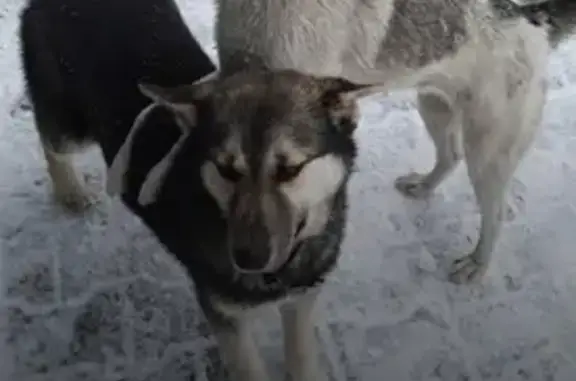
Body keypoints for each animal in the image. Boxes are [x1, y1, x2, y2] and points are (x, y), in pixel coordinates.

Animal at [216, 0, 576, 284]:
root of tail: (532, 19)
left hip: (488, 151)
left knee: (496, 212)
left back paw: (476, 264)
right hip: (434, 106)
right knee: (450, 154)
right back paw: (424, 186)